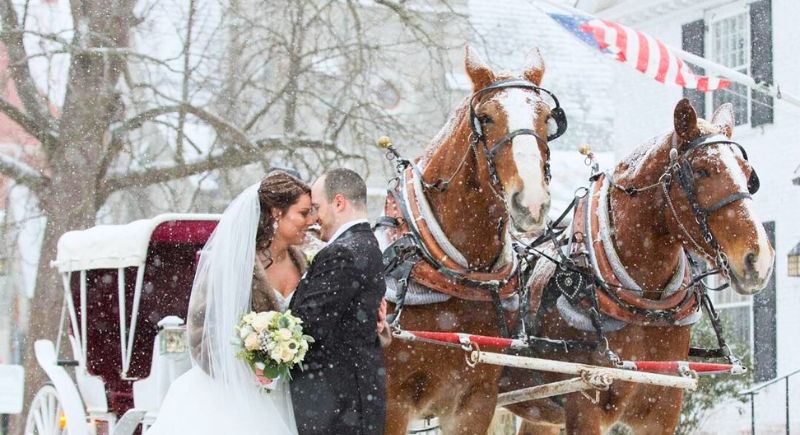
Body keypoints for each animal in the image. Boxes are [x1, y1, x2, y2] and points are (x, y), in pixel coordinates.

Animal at [506, 99, 776, 435]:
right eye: (701, 170)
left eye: (749, 175)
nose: (759, 258)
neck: (645, 306)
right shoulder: (583, 405)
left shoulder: (664, 408)